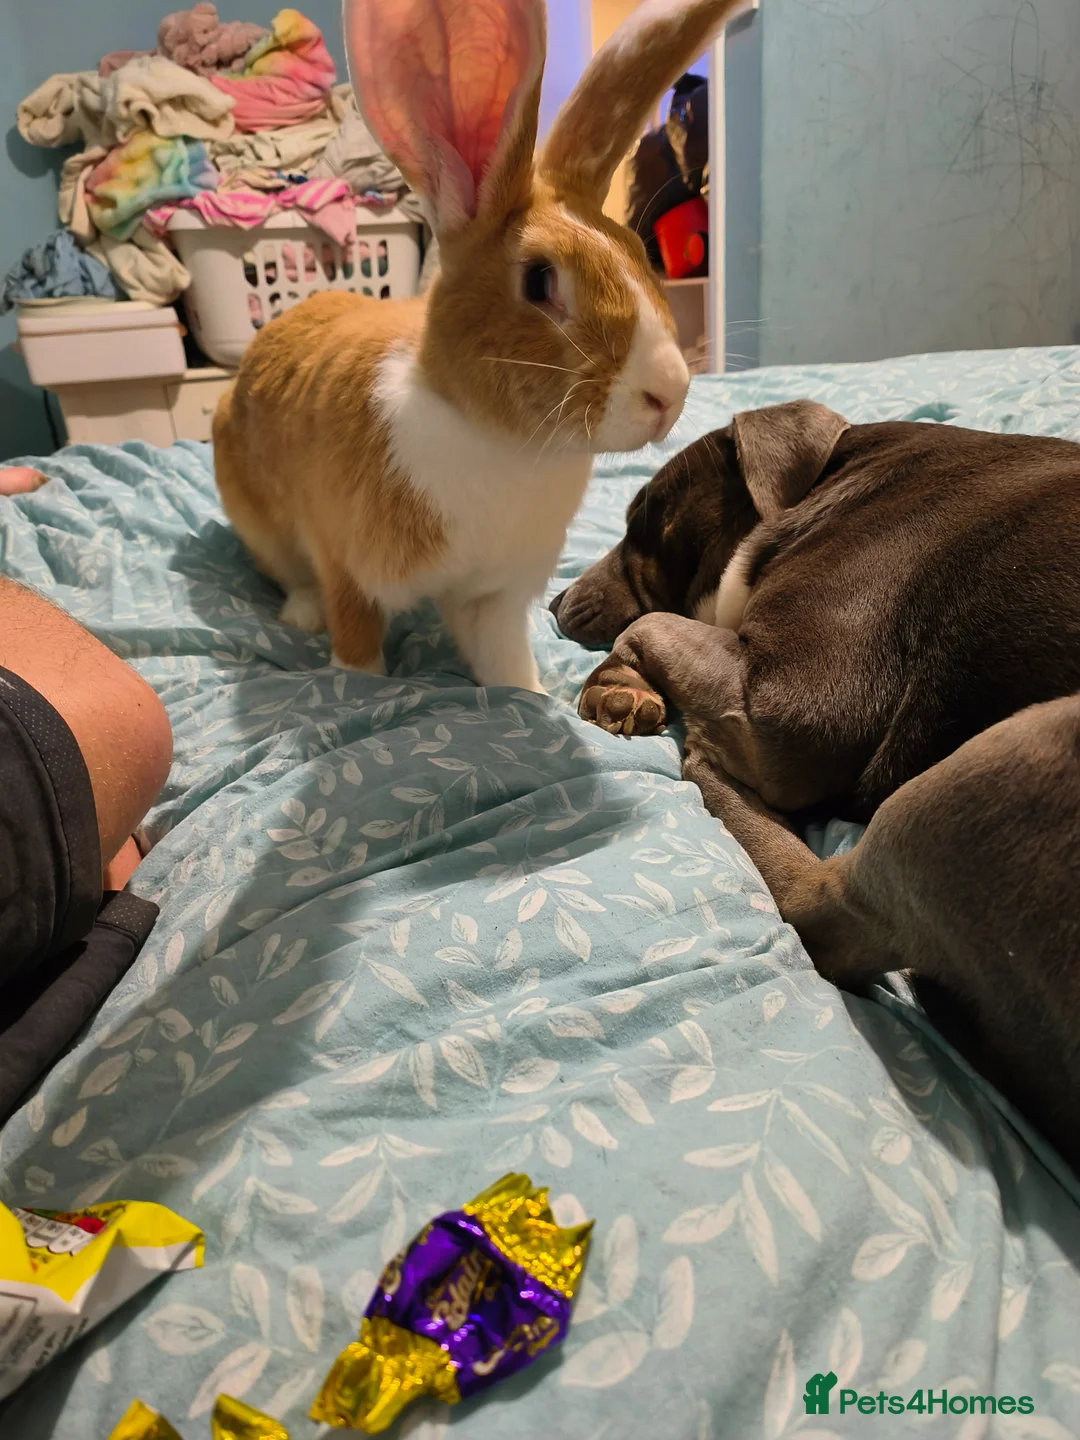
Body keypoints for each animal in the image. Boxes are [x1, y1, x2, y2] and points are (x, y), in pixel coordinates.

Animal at [214, 0, 745, 692]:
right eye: (540, 281)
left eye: (637, 252)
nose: (670, 393)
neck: (499, 440)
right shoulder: (348, 568)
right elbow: (356, 649)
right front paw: (356, 681)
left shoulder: (492, 598)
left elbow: (503, 660)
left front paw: (530, 692)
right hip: (260, 522)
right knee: (289, 574)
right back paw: (302, 614)